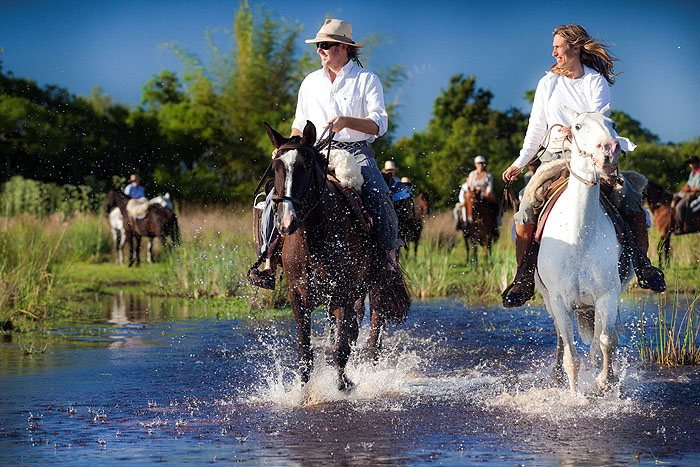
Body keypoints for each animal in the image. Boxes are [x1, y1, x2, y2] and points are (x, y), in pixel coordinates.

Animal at [266, 121, 410, 392]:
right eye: (276, 167)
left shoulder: (342, 292)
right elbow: (306, 352)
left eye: (306, 166)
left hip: (379, 285)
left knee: (373, 336)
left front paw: (344, 385)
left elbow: (341, 350)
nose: (286, 221)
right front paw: (303, 393)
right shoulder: (297, 295)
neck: (314, 240)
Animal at [536, 105, 636, 394]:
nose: (609, 149)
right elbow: (571, 357)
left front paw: (606, 381)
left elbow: (606, 341)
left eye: (612, 123)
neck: (579, 238)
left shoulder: (607, 296)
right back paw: (556, 376)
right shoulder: (560, 301)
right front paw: (574, 396)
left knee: (597, 342)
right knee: (561, 337)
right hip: (551, 301)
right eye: (578, 126)